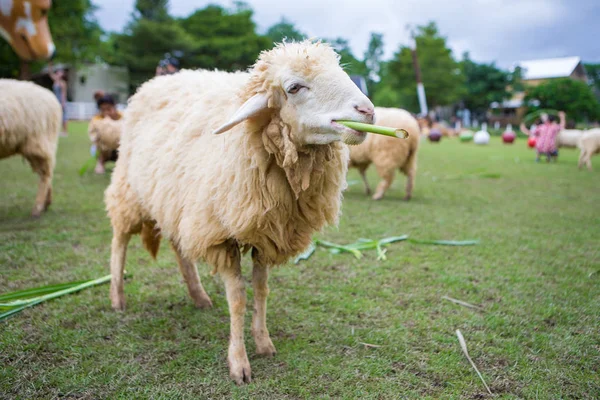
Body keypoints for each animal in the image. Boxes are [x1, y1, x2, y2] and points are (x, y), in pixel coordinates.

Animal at [103, 40, 376, 384]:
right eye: (294, 87)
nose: (367, 111)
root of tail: (155, 81)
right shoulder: (221, 235)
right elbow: (238, 298)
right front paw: (239, 362)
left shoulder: (268, 232)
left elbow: (261, 290)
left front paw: (263, 342)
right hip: (130, 188)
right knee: (119, 240)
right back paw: (117, 297)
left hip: (176, 201)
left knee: (180, 247)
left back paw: (199, 296)